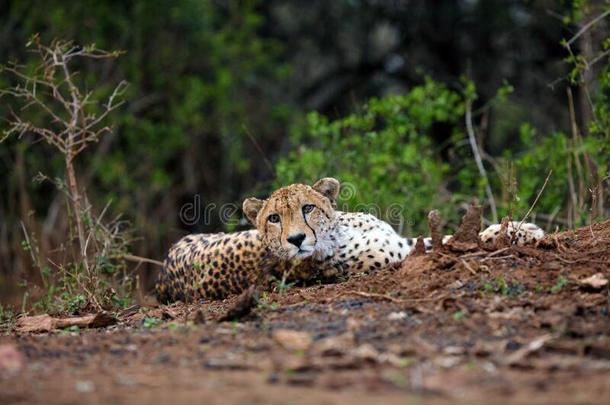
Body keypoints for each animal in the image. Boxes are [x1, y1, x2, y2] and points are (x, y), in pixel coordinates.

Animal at [156, 178, 540, 304]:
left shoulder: (402, 241)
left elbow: (444, 237)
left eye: (307, 208)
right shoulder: (396, 255)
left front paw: (521, 228)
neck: (339, 230)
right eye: (274, 218)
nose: (297, 239)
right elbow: (450, 243)